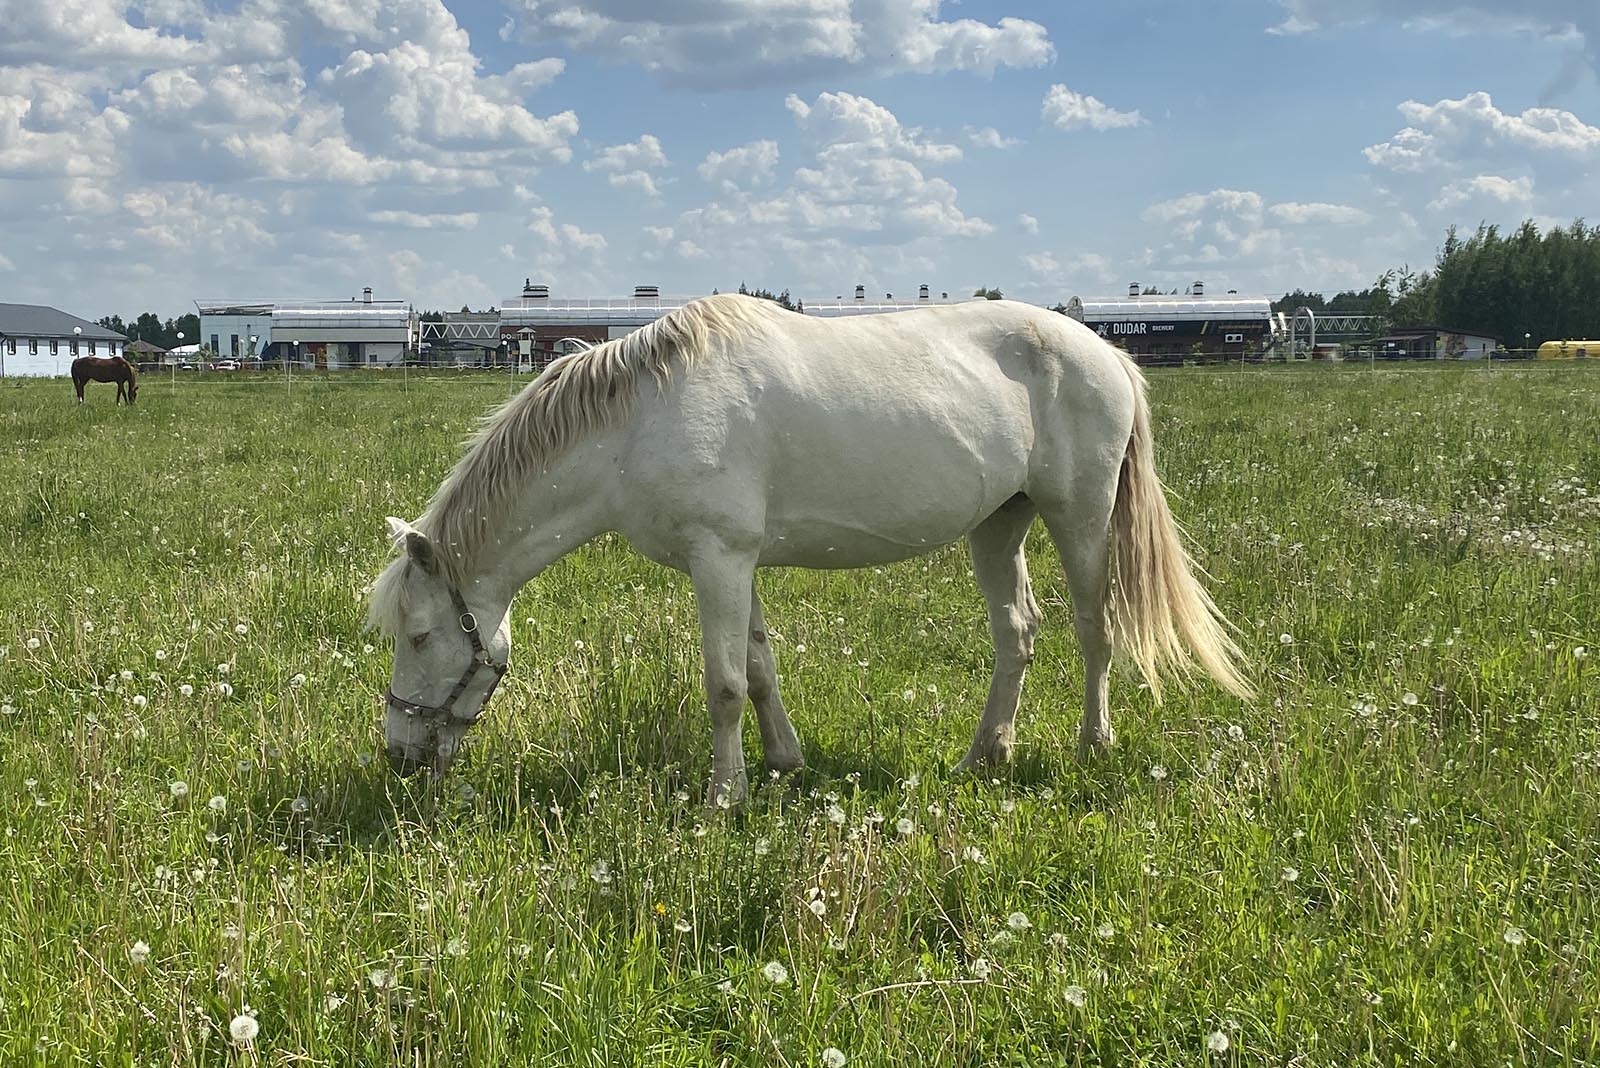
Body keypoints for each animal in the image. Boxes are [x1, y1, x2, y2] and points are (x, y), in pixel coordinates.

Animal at [366, 292, 1248, 799]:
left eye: (421, 637)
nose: (399, 756)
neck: (636, 422)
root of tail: (1111, 355)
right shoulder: (734, 562)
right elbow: (758, 668)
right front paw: (784, 763)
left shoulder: (719, 559)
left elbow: (723, 684)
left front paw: (725, 797)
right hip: (1000, 524)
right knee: (1017, 633)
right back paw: (984, 755)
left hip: (1081, 518)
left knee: (1096, 631)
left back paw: (1092, 745)